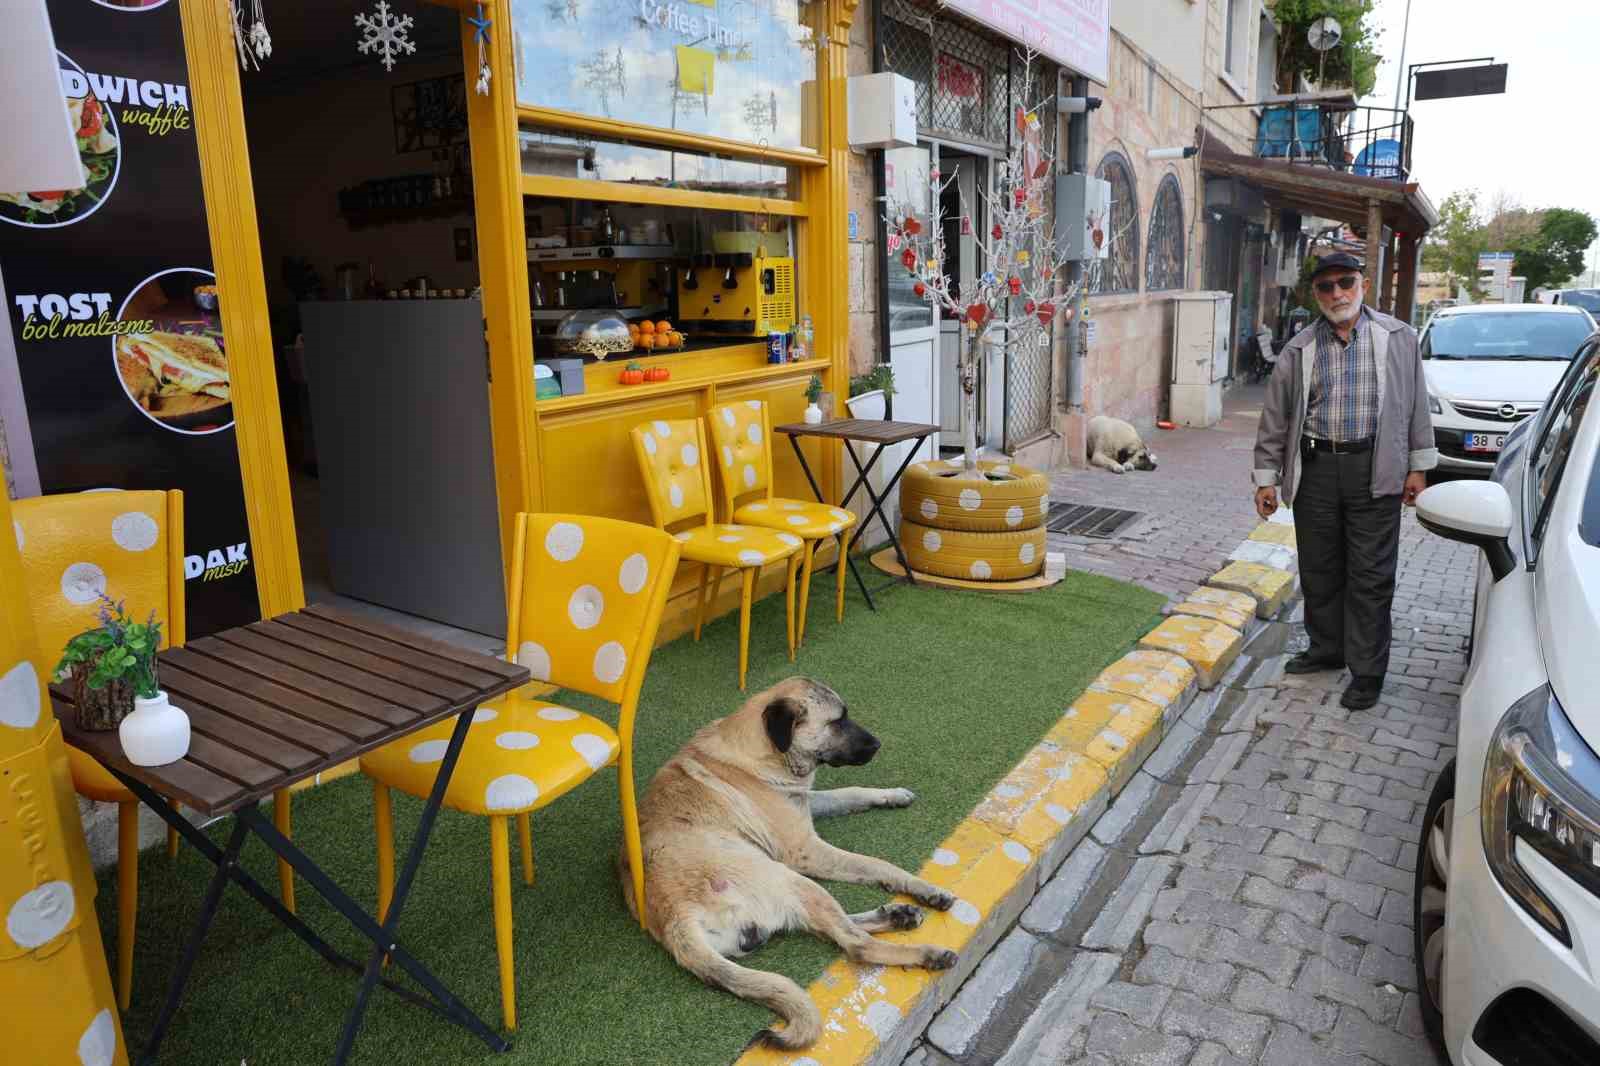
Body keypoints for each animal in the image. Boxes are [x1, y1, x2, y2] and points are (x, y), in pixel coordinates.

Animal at [617, 675, 953, 1043]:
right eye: (837, 721)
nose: (878, 744)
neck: (759, 752)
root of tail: (675, 920)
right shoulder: (806, 850)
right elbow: (877, 864)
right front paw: (923, 887)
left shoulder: (804, 802)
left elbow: (849, 792)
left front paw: (891, 795)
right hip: (789, 878)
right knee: (855, 944)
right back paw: (926, 952)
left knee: (832, 927)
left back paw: (897, 916)